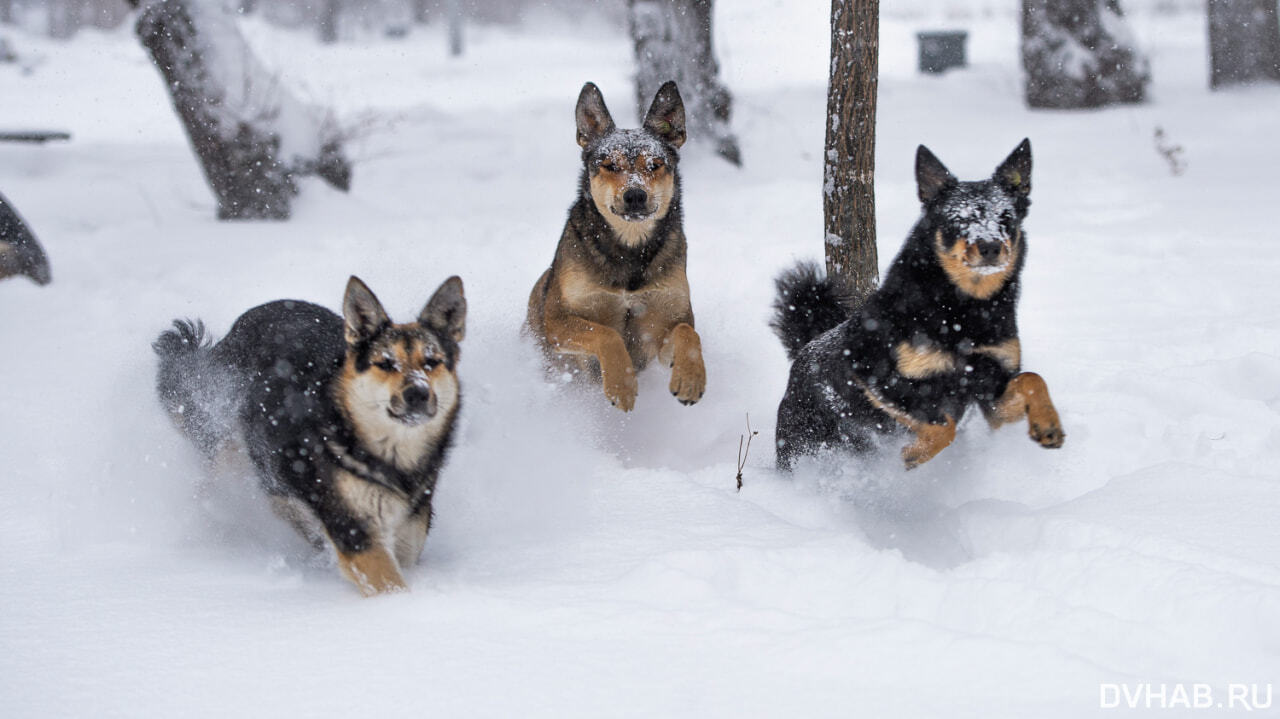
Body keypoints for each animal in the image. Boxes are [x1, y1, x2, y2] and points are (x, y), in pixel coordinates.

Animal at [153, 273, 465, 593]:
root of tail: (239, 327)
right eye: (385, 364)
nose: (418, 393)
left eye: (431, 362)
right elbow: (389, 583)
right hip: (232, 456)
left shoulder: (408, 532)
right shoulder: (354, 529)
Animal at [522, 80, 711, 411]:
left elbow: (687, 333)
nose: (634, 195)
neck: (629, 251)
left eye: (655, 164)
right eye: (609, 165)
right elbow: (606, 333)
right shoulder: (557, 320)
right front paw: (621, 385)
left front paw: (690, 379)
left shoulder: (660, 327)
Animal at [773, 138, 1064, 470]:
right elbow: (943, 424)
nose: (990, 247)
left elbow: (1032, 379)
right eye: (958, 220)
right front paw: (914, 453)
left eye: (1006, 218)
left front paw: (1048, 424)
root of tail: (806, 348)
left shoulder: (990, 389)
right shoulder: (878, 378)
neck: (962, 312)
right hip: (800, 445)